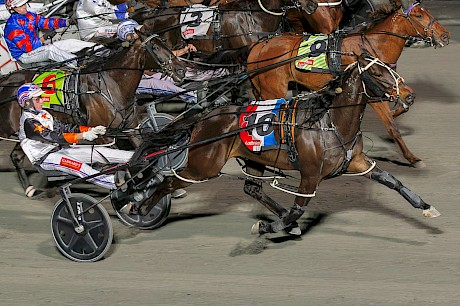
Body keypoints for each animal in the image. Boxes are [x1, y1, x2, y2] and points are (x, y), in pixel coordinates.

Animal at [0, 33, 187, 196]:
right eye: (154, 47)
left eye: (164, 42)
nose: (181, 70)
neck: (112, 84)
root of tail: (6, 81)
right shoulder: (105, 137)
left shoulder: (131, 128)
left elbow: (141, 151)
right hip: (8, 127)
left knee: (16, 155)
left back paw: (29, 188)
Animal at [131, 52, 440, 237]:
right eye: (377, 74)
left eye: (391, 68)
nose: (409, 95)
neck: (329, 120)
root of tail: (205, 117)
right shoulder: (310, 174)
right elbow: (297, 209)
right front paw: (267, 226)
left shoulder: (357, 162)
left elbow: (392, 180)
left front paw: (426, 206)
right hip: (203, 166)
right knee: (169, 181)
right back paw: (140, 208)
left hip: (253, 158)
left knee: (252, 188)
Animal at [246, 0, 452, 167]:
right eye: (419, 15)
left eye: (427, 12)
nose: (445, 36)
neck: (371, 46)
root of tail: (259, 46)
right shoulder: (373, 93)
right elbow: (392, 127)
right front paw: (413, 158)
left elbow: (403, 105)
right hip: (273, 90)